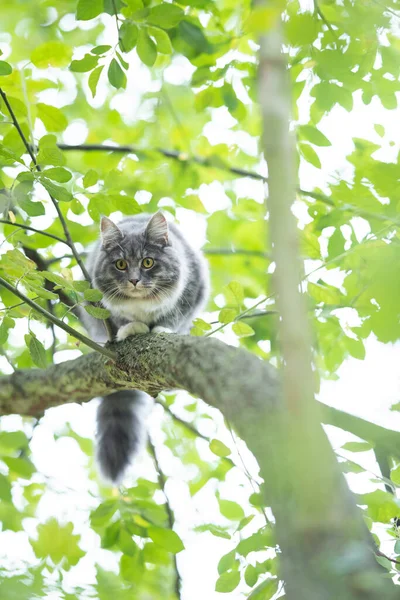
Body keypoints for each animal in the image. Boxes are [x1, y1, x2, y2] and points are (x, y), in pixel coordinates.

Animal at [83, 211, 209, 482]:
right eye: (120, 264)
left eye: (148, 262)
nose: (134, 280)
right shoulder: (101, 305)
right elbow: (122, 320)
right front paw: (132, 328)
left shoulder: (192, 289)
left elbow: (172, 316)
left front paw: (162, 329)